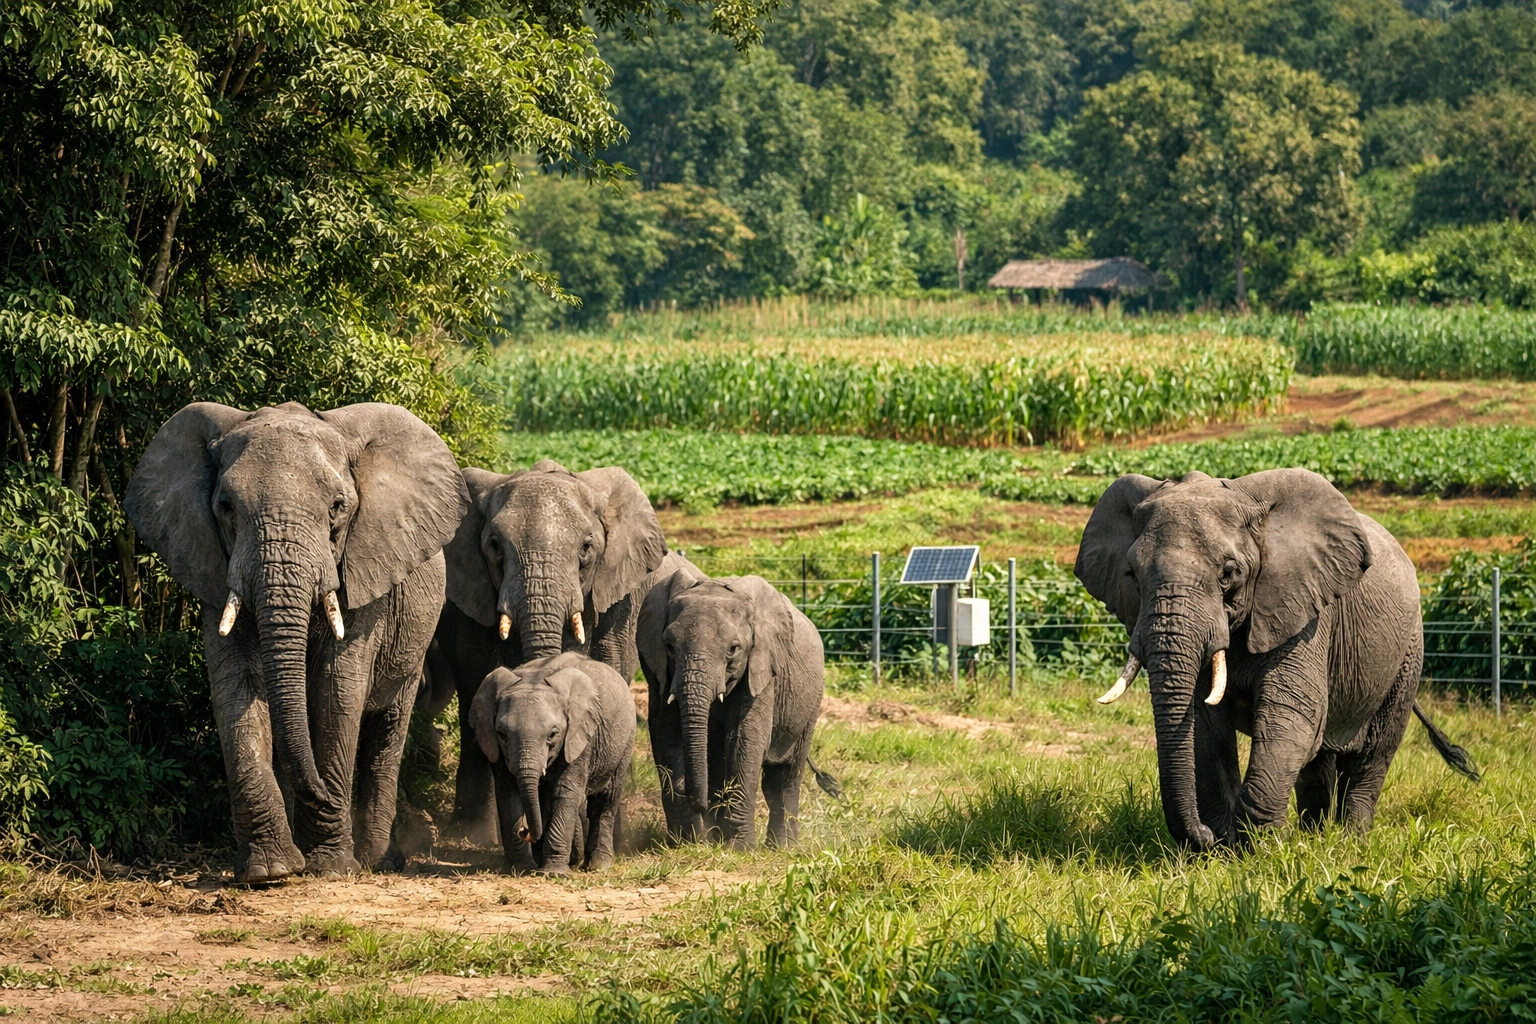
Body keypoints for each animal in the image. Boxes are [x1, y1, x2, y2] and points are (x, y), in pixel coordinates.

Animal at [125, 401, 468, 882]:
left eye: (338, 507)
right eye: (225, 507)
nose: (322, 792)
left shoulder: (362, 575)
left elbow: (336, 691)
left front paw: (331, 868)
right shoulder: (215, 566)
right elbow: (236, 686)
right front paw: (269, 872)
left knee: (386, 730)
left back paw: (377, 860)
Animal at [436, 460, 667, 839]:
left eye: (586, 548)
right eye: (495, 546)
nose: (526, 832)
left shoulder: (616, 596)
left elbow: (608, 664)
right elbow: (477, 672)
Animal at [470, 651, 635, 873]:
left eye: (553, 734)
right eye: (502, 734)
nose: (524, 831)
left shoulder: (579, 737)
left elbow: (564, 791)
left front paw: (553, 873)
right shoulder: (494, 743)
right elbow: (507, 791)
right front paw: (520, 869)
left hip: (625, 742)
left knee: (605, 801)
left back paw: (598, 866)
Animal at [637, 572, 840, 849]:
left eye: (733, 649)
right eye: (669, 646)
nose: (699, 804)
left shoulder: (762, 667)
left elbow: (745, 739)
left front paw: (740, 848)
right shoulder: (660, 673)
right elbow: (666, 735)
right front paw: (686, 843)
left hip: (811, 702)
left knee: (784, 776)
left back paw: (783, 846)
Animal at [1074, 468, 1479, 851]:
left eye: (1228, 573)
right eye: (1132, 575)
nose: (1203, 836)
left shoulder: (1306, 614)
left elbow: (1292, 713)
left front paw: (1259, 847)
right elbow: (1206, 725)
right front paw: (1223, 850)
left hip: (1409, 650)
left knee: (1372, 754)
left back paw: (1350, 840)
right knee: (1318, 760)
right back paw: (1315, 836)